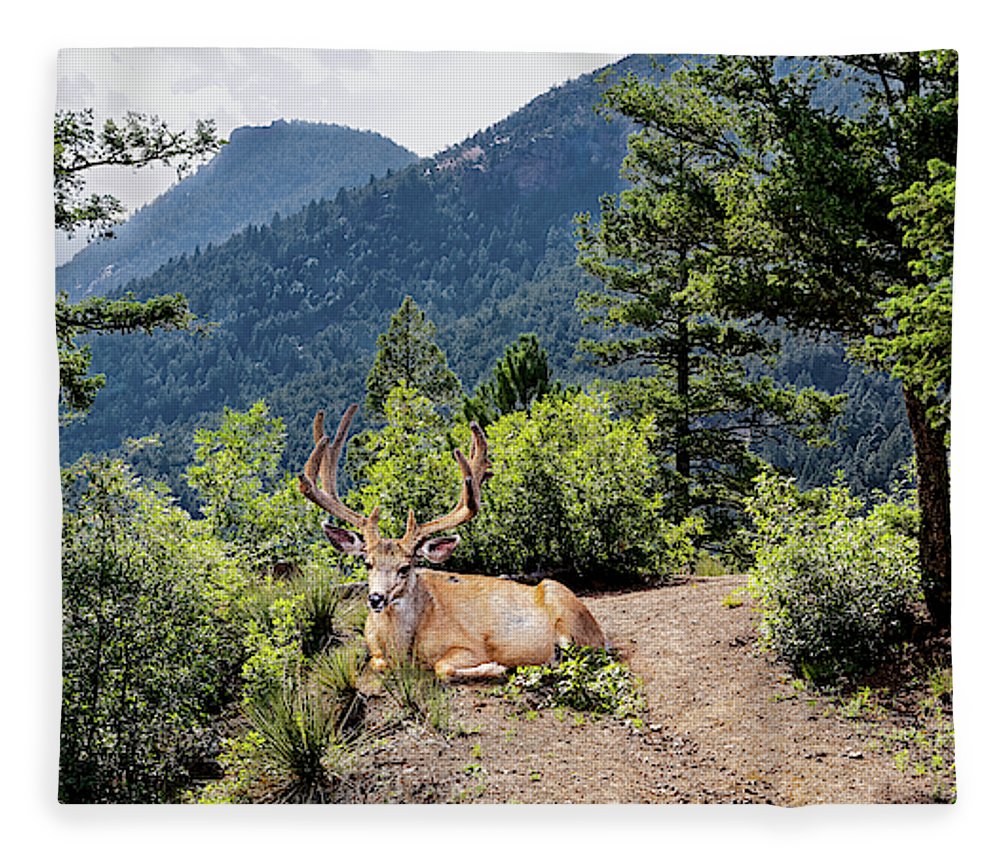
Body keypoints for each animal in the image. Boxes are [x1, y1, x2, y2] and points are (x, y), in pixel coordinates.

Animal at [296, 404, 608, 680]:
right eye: (367, 563)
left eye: (406, 567)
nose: (376, 598)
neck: (402, 648)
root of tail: (600, 633)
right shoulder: (375, 649)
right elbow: (377, 662)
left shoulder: (469, 645)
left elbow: (442, 667)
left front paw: (495, 667)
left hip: (565, 608)